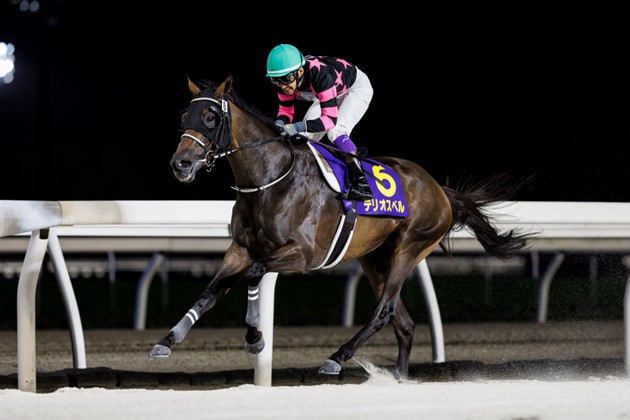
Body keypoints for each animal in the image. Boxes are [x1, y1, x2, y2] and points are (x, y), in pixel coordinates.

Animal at [149, 74, 533, 378]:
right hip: (374, 257)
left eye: (211, 117)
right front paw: (168, 339)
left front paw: (255, 338)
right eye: (185, 116)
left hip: (410, 247)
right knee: (404, 324)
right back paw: (399, 378)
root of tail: (439, 189)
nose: (181, 164)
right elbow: (209, 292)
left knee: (384, 311)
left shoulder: (302, 255)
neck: (269, 179)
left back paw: (337, 357)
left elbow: (257, 274)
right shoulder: (240, 249)